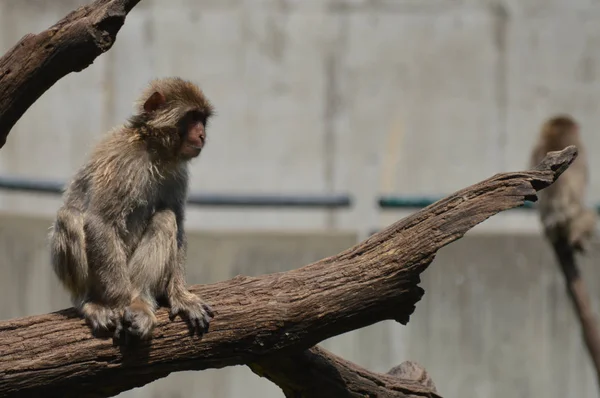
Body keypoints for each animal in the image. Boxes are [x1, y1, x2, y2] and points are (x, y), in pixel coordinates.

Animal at [49, 77, 213, 342]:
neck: (152, 149)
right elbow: (100, 222)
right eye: (192, 118)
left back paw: (141, 298)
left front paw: (180, 296)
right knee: (69, 217)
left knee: (165, 218)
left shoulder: (177, 175)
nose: (202, 134)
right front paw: (121, 304)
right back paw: (95, 302)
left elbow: (178, 224)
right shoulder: (122, 162)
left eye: (202, 119)